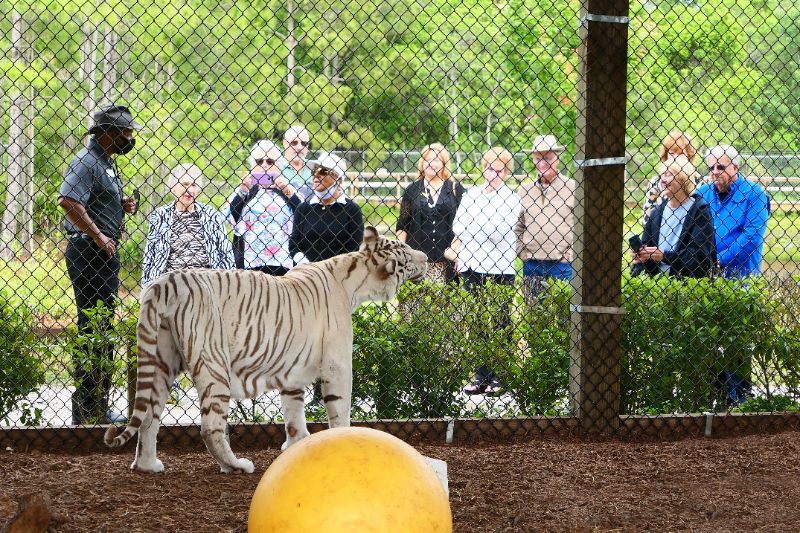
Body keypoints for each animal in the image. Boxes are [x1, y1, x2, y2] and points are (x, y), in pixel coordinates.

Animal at [104, 226, 427, 474]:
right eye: (406, 253)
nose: (425, 257)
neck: (354, 276)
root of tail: (166, 282)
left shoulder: (293, 371)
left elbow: (294, 416)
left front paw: (297, 448)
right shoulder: (336, 365)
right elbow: (339, 410)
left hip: (161, 360)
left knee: (149, 418)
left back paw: (148, 466)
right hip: (213, 364)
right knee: (210, 426)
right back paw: (235, 466)